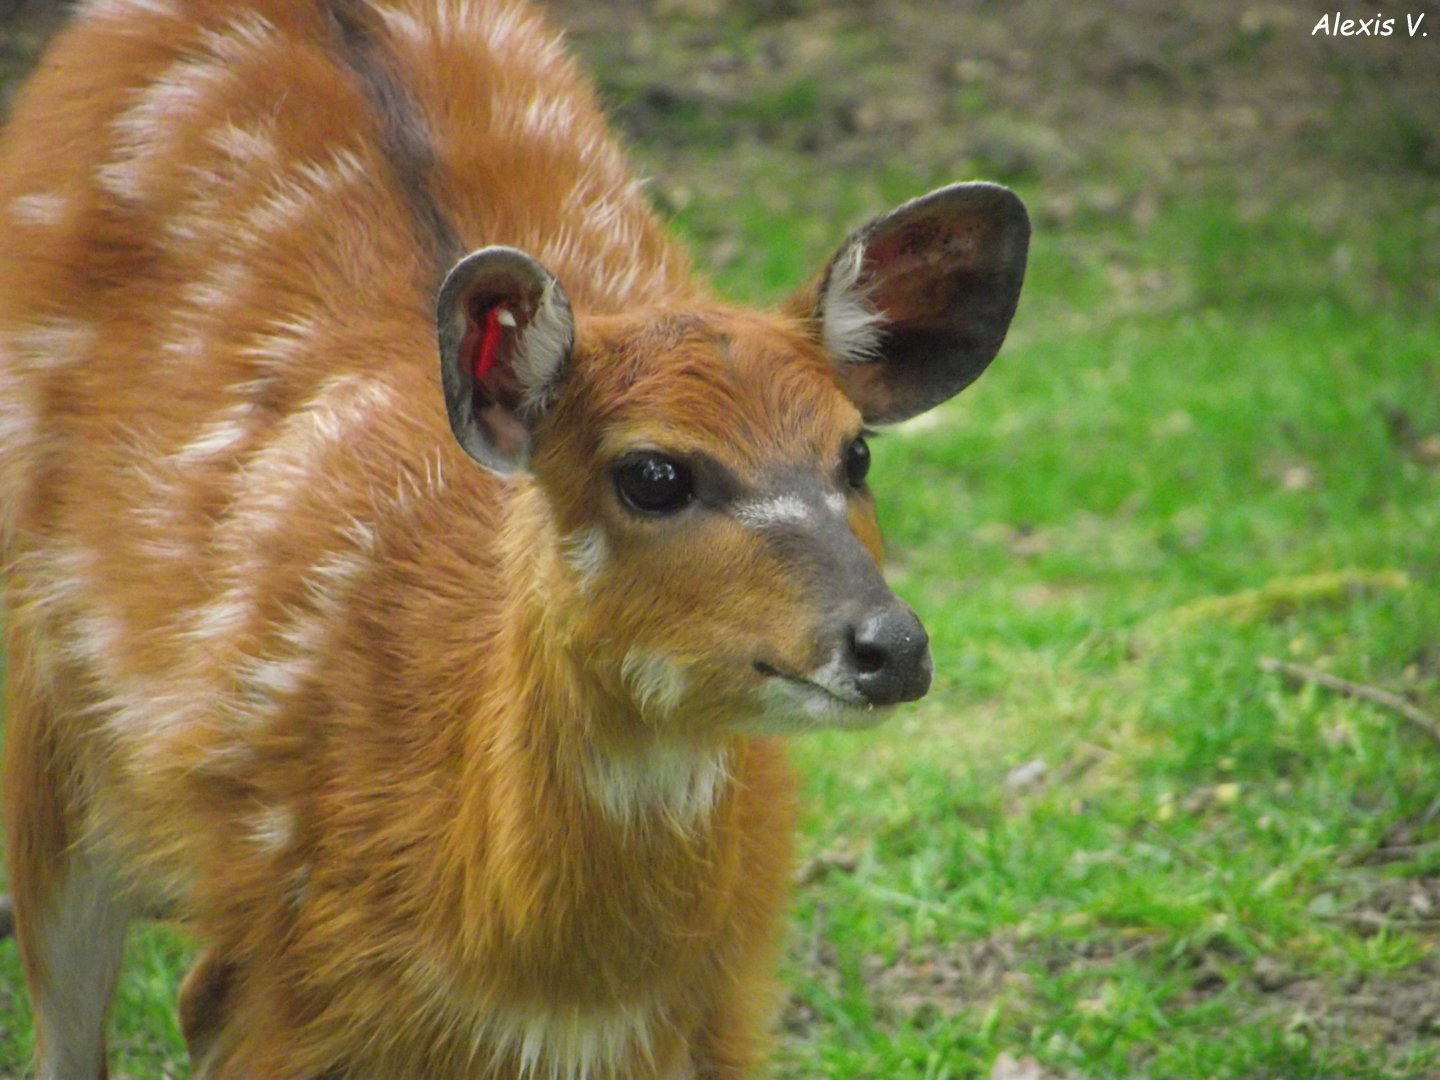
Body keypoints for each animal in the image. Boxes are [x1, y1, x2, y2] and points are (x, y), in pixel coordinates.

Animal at [0, 0, 1029, 1076]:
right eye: (653, 474)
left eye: (856, 451)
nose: (891, 646)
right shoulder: (277, 980)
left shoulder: (729, 998)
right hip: (50, 701)